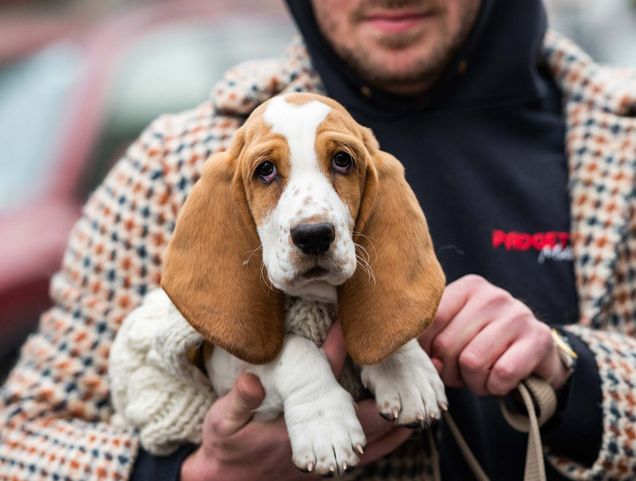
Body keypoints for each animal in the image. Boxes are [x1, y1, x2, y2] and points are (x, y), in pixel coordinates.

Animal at [150, 92, 448, 474]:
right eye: (265, 170)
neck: (314, 298)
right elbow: (293, 351)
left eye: (342, 160)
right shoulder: (230, 369)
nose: (314, 235)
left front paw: (406, 371)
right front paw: (326, 426)